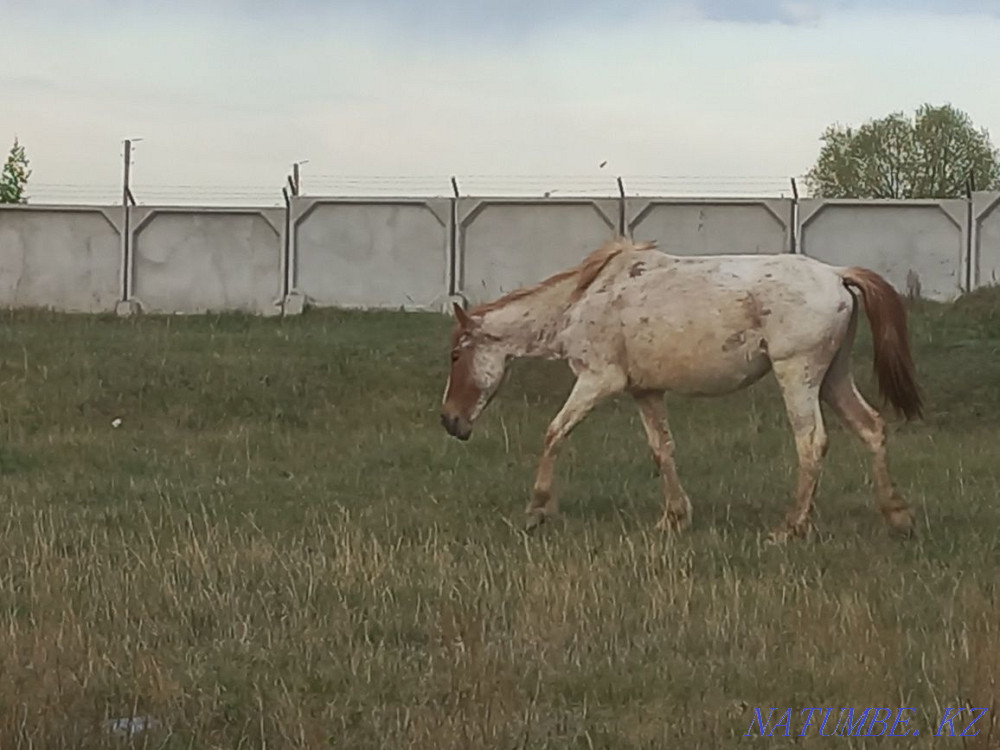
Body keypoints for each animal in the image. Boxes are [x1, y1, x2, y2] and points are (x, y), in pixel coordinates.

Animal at [439, 237, 923, 542]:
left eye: (456, 355)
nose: (449, 420)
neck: (582, 301)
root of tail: (838, 275)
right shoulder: (645, 391)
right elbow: (662, 450)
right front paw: (674, 518)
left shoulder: (598, 380)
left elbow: (555, 433)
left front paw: (537, 509)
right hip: (833, 378)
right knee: (872, 428)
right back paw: (898, 516)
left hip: (798, 375)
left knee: (812, 444)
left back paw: (790, 528)